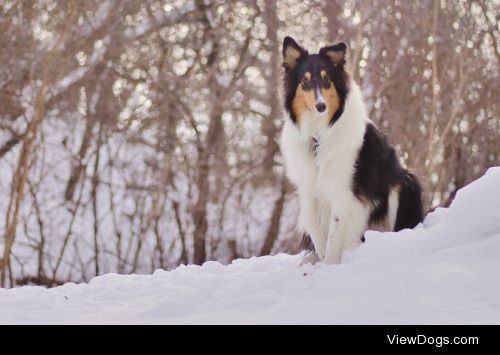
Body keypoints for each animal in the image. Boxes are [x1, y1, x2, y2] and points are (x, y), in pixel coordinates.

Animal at [280, 36, 424, 264]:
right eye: (305, 81)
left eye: (327, 80)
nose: (321, 106)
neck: (319, 134)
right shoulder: (309, 190)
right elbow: (315, 230)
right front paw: (318, 260)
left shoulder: (343, 194)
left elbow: (333, 239)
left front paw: (329, 267)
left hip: (402, 184)